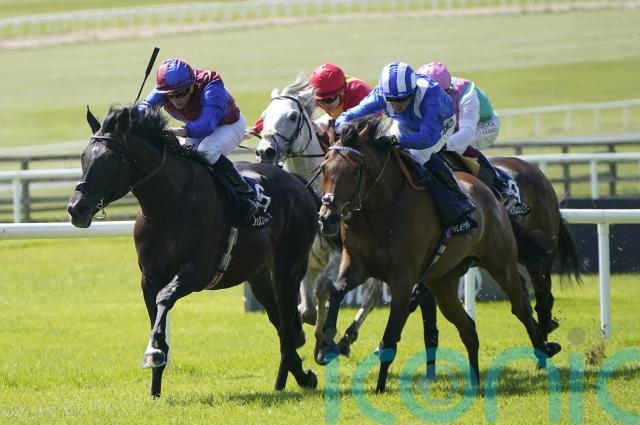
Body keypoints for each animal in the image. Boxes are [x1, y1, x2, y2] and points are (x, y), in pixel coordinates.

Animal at [67, 105, 319, 397]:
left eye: (109, 159)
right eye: (84, 156)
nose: (76, 209)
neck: (168, 206)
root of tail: (298, 184)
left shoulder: (196, 271)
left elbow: (164, 299)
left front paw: (152, 353)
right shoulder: (149, 277)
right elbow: (156, 314)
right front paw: (155, 387)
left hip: (289, 269)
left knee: (289, 321)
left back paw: (299, 376)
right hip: (259, 277)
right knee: (280, 322)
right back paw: (293, 377)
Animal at [255, 74, 385, 357]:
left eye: (293, 116)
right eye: (265, 115)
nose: (265, 151)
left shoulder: (339, 254)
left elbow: (324, 287)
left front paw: (324, 337)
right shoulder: (305, 257)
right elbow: (305, 306)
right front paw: (303, 329)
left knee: (372, 295)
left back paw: (349, 338)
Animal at [317, 116, 561, 392]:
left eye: (354, 170)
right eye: (324, 168)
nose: (327, 218)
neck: (379, 210)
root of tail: (491, 193)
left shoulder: (403, 279)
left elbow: (390, 337)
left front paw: (379, 387)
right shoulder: (356, 264)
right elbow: (336, 289)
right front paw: (327, 346)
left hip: (501, 264)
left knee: (521, 306)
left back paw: (544, 350)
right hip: (443, 281)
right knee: (468, 328)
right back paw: (475, 382)